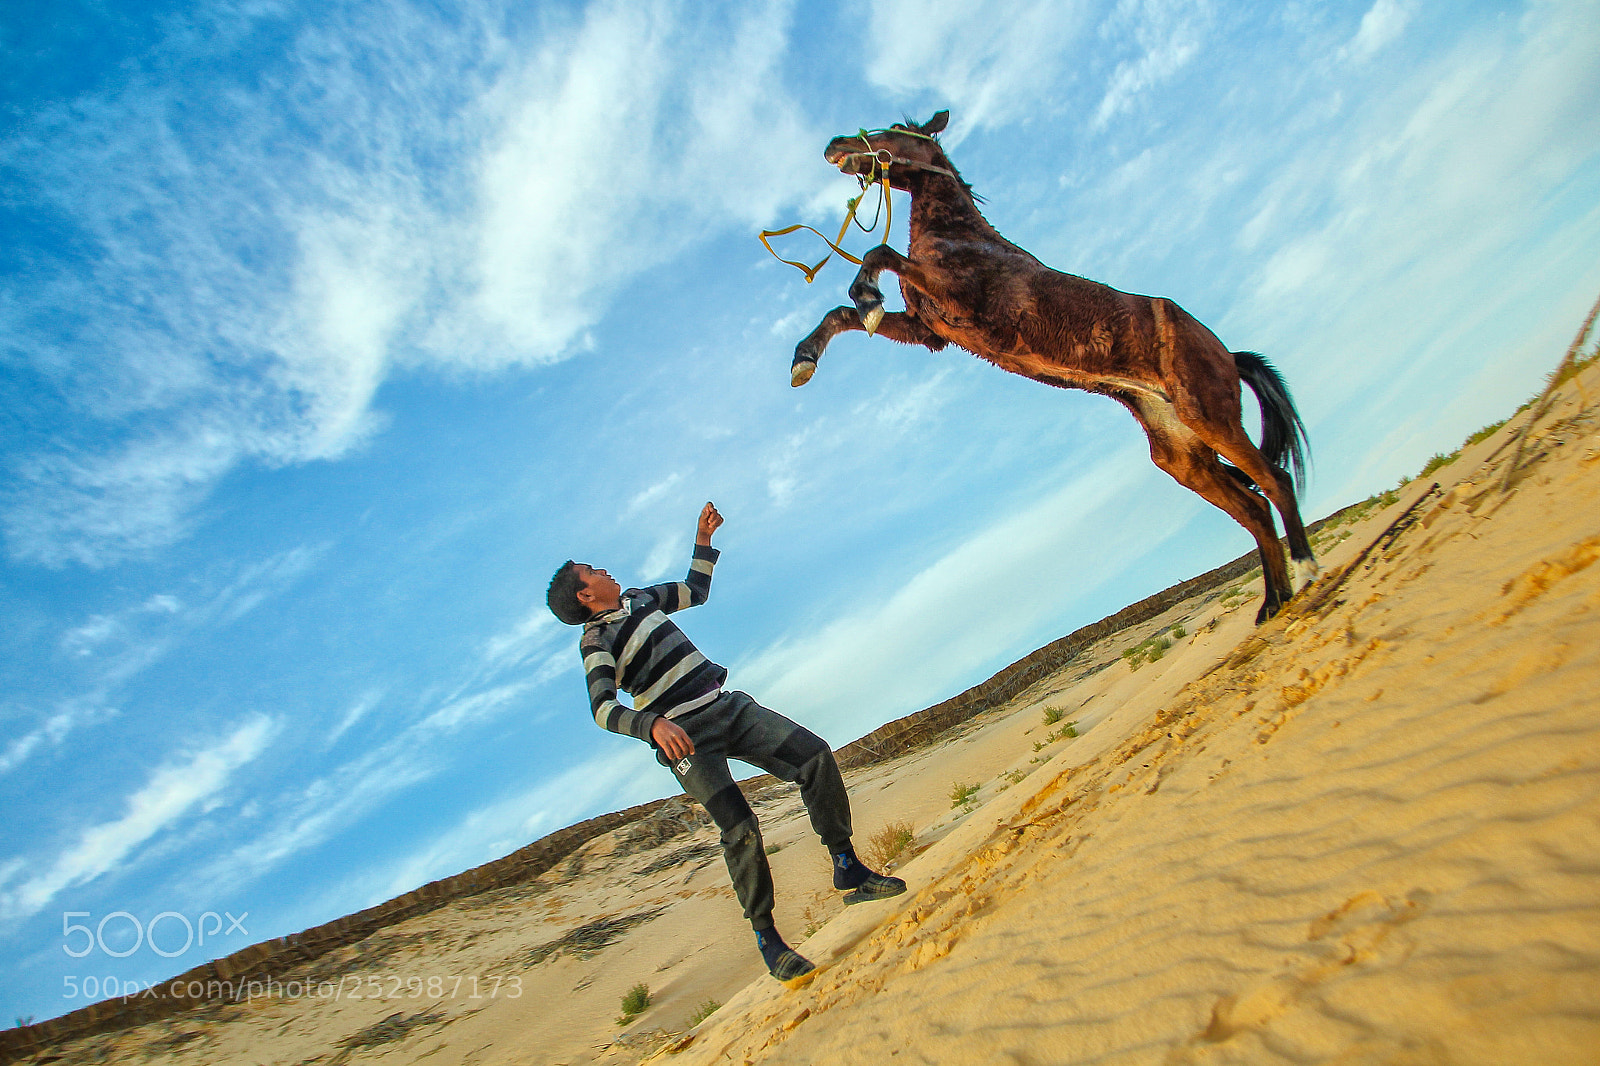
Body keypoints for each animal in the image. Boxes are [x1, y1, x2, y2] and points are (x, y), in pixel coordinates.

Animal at [788, 110, 1317, 622]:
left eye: (895, 130)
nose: (835, 145)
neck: (961, 239)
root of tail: (1227, 354)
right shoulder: (930, 331)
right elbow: (843, 315)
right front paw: (804, 360)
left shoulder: (962, 304)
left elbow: (877, 254)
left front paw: (867, 294)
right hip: (1183, 455)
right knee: (1254, 508)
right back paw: (1274, 603)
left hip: (1209, 414)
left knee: (1276, 481)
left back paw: (1306, 570)